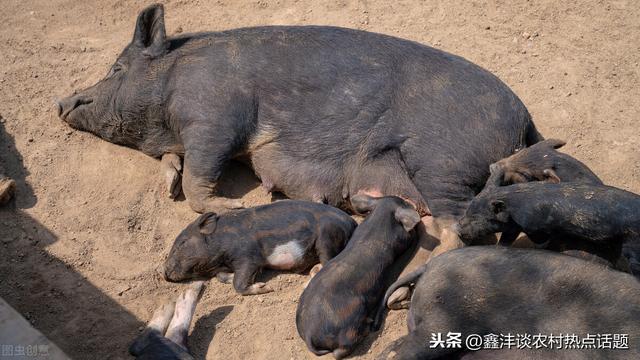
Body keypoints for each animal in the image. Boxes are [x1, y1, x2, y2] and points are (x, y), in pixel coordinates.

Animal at [57, 3, 544, 222]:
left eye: (117, 68)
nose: (62, 101)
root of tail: (524, 122)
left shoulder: (216, 118)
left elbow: (202, 175)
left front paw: (242, 202)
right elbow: (176, 164)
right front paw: (168, 183)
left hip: (443, 165)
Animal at [162, 200, 358, 296]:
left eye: (182, 243)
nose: (164, 273)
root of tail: (352, 222)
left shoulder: (249, 256)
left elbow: (239, 283)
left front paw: (266, 287)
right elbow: (221, 276)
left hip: (327, 236)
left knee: (328, 262)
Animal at [298, 195, 422, 358]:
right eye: (404, 203)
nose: (411, 202)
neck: (379, 219)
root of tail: (309, 335)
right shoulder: (401, 241)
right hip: (351, 320)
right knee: (340, 351)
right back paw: (367, 327)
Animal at [458, 184, 636, 266]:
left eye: (477, 218)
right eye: (467, 211)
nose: (458, 230)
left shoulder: (533, 226)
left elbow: (540, 241)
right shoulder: (514, 227)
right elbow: (505, 240)